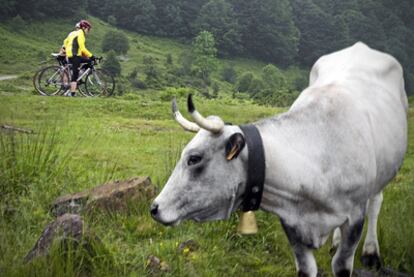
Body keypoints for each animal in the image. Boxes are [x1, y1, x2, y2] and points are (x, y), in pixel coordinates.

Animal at [150, 41, 408, 276]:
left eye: (194, 159)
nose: (154, 207)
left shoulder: (355, 217)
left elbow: (342, 264)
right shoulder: (291, 221)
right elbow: (306, 268)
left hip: (382, 174)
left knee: (376, 202)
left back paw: (371, 253)